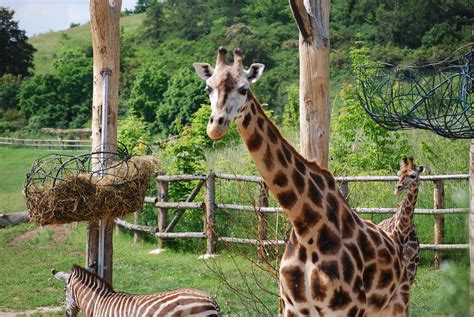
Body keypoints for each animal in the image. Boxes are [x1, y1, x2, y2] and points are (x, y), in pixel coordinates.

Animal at [193, 48, 412, 314]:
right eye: (208, 88)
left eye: (244, 89)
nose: (216, 127)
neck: (306, 226)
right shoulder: (292, 307)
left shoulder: (345, 309)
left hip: (398, 302)